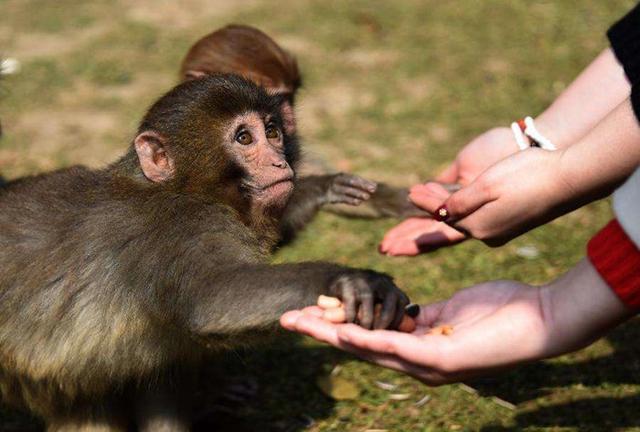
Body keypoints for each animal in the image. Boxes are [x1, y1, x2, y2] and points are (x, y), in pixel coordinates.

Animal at [0, 75, 410, 432]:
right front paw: (348, 281)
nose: (280, 162)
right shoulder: (181, 230)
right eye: (244, 137)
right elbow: (211, 298)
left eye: (272, 132)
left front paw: (326, 188)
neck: (182, 188)